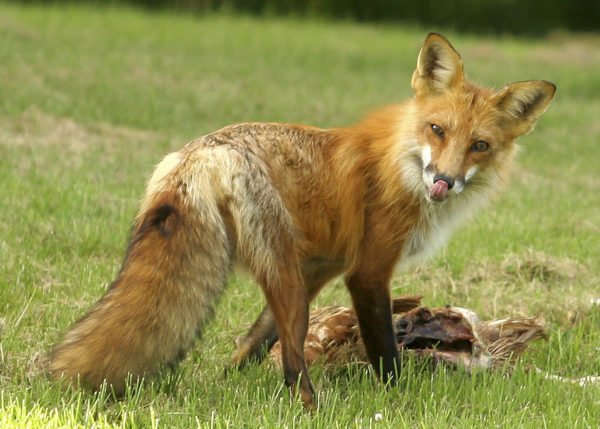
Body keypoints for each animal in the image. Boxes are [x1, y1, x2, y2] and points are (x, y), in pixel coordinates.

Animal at [48, 32, 556, 404]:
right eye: (438, 130)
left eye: (480, 146)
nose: (444, 181)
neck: (402, 164)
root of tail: (199, 153)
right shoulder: (367, 273)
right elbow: (386, 355)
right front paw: (400, 403)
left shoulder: (321, 269)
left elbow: (249, 345)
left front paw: (229, 380)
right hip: (286, 276)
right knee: (295, 368)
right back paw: (314, 408)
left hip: (290, 280)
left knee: (276, 352)